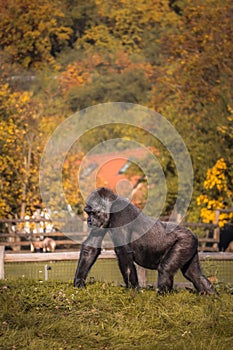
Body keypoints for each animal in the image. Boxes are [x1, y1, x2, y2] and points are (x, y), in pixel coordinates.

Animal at [73, 187, 216, 294]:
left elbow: (123, 253)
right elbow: (91, 247)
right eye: (88, 213)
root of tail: (194, 235)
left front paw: (132, 289)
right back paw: (211, 296)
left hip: (184, 242)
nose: (89, 220)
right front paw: (78, 281)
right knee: (194, 274)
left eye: (92, 212)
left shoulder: (120, 216)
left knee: (166, 269)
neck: (111, 207)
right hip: (190, 246)